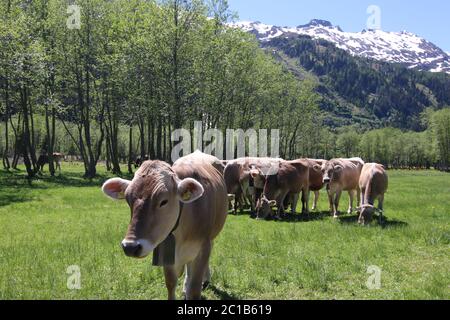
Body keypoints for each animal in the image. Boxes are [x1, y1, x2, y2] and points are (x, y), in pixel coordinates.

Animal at [102, 151, 229, 300]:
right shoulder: (166, 251)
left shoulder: (203, 248)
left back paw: (206, 279)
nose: (130, 247)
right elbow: (171, 282)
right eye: (128, 200)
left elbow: (194, 289)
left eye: (164, 201)